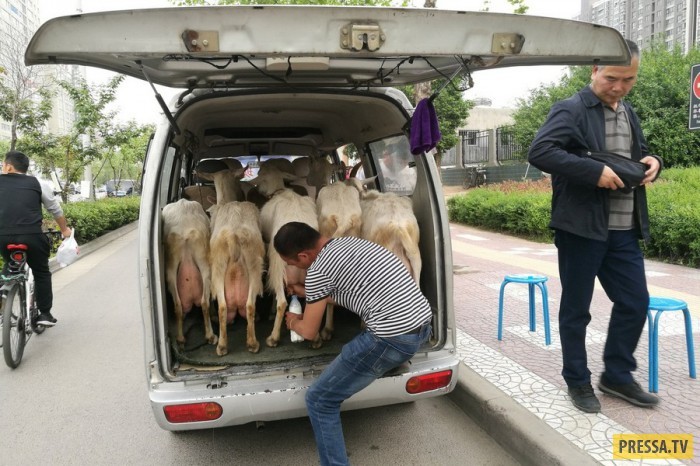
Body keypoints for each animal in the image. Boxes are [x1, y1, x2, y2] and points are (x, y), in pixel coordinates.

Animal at [208, 201, 266, 356]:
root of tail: (233, 234)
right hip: (253, 266)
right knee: (247, 305)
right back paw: (250, 344)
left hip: (219, 267)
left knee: (225, 307)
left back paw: (224, 345)